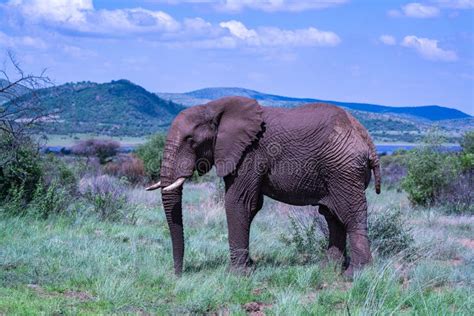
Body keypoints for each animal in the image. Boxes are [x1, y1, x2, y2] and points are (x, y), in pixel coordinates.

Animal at [146, 96, 384, 276]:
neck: (213, 108)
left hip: (343, 169)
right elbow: (251, 206)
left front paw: (236, 275)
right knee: (332, 215)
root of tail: (368, 141)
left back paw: (355, 275)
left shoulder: (250, 153)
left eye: (190, 140)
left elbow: (239, 202)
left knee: (350, 214)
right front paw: (250, 267)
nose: (178, 275)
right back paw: (327, 269)